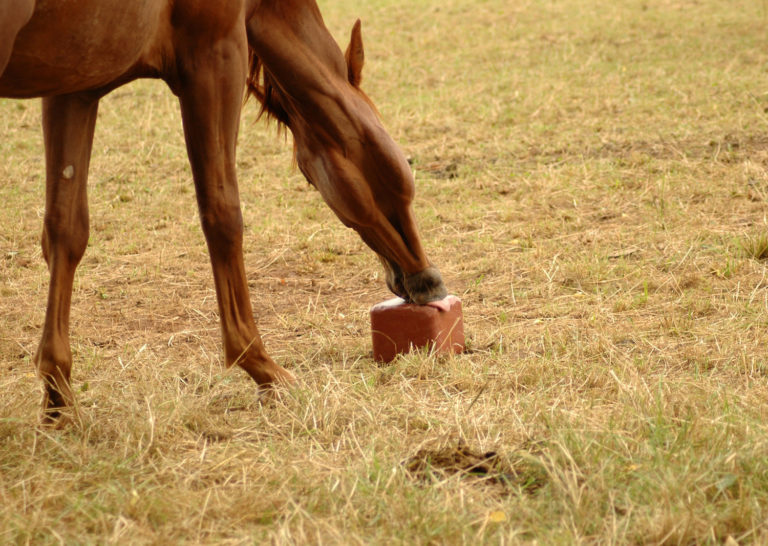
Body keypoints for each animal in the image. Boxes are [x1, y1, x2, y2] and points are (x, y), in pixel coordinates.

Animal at [0, 0, 447, 424]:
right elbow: (222, 214)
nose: (430, 281)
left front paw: (57, 392)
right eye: (386, 157)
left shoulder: (74, 86)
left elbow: (65, 230)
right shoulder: (216, 56)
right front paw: (262, 366)